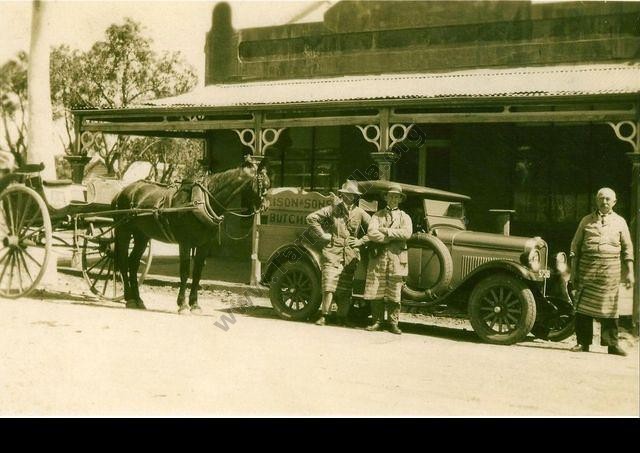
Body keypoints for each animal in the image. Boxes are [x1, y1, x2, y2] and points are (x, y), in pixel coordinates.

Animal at [112, 162, 270, 314]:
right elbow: (184, 271)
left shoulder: (204, 244)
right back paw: (129, 298)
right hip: (124, 231)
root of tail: (122, 191)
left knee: (133, 263)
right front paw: (182, 305)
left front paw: (194, 304)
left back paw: (138, 299)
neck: (201, 201)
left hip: (142, 235)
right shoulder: (185, 242)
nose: (266, 207)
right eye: (264, 185)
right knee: (123, 262)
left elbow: (197, 273)